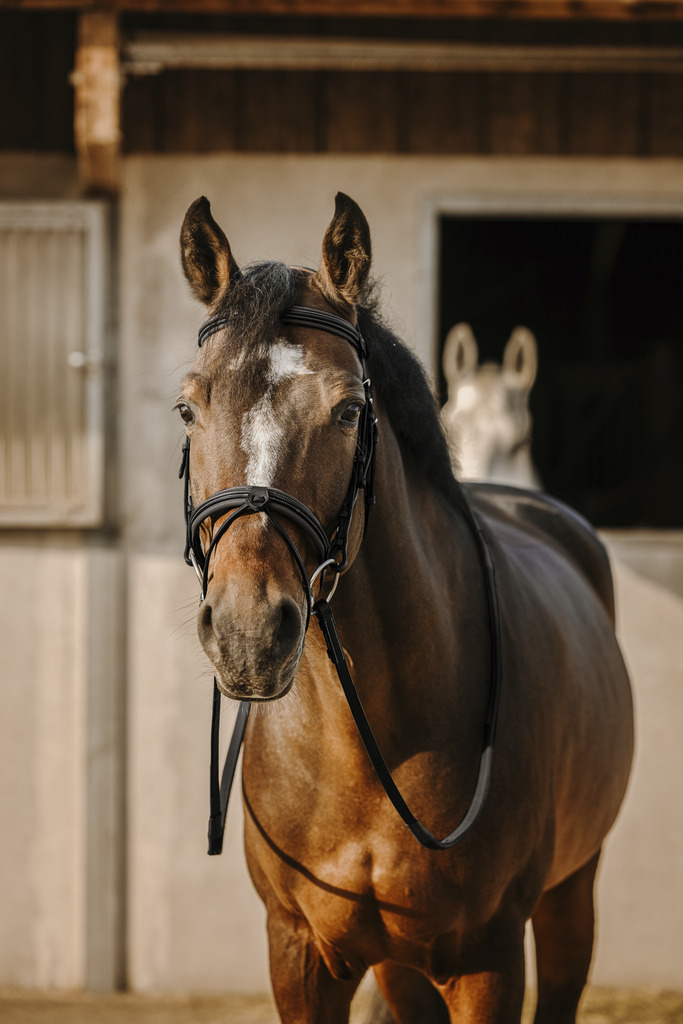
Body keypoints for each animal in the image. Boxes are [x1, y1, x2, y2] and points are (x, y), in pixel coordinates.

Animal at [178, 193, 634, 1024]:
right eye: (188, 408)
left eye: (347, 410)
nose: (247, 632)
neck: (368, 747)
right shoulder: (300, 954)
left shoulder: (488, 962)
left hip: (568, 896)